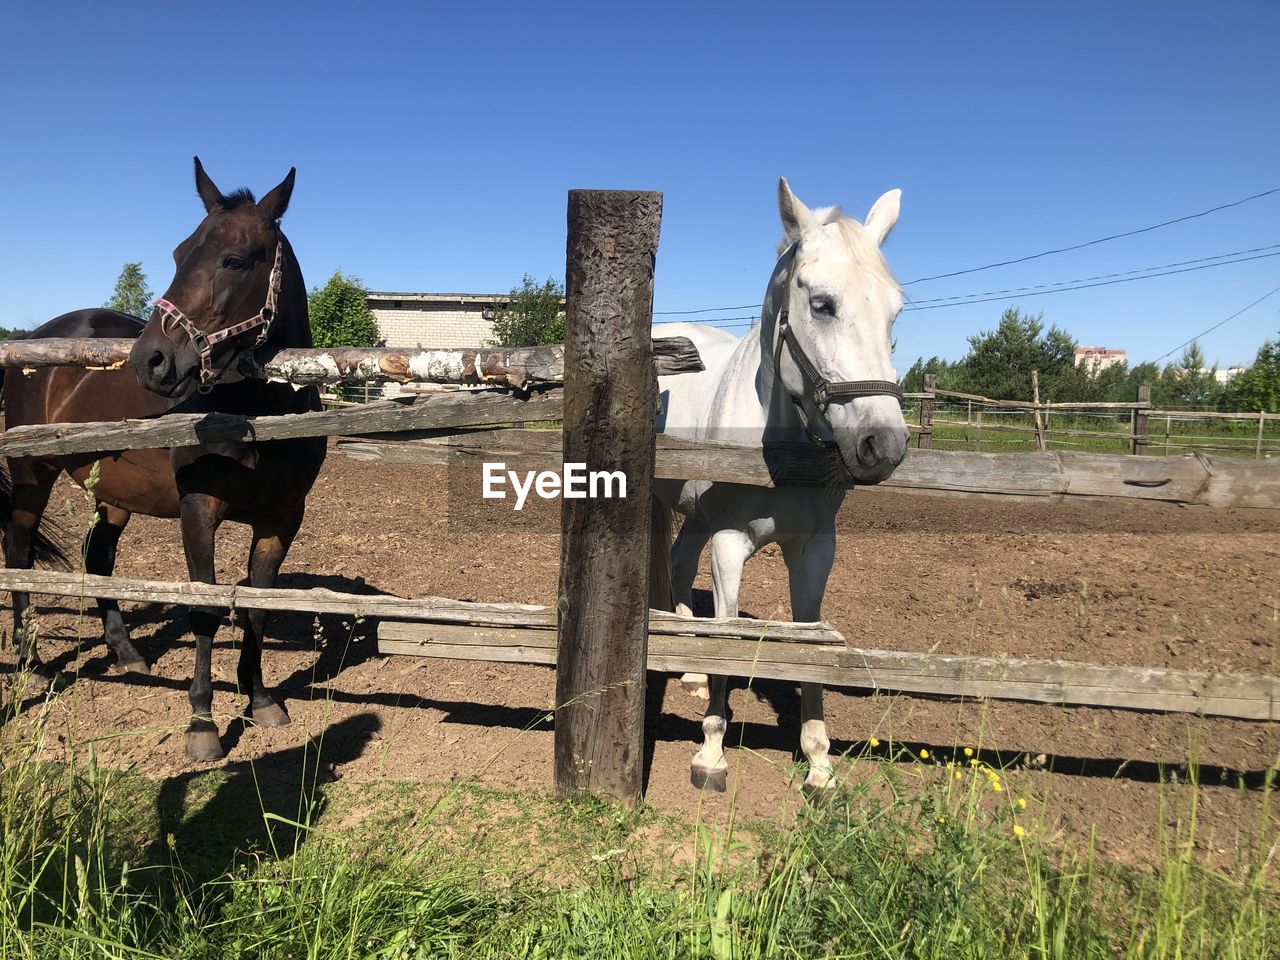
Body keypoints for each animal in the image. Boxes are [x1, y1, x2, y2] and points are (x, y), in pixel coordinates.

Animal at [6, 158, 325, 762]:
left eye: (234, 259)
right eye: (179, 254)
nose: (150, 361)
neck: (258, 414)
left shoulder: (283, 517)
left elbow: (257, 605)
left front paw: (261, 700)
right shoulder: (198, 510)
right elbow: (204, 609)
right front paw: (202, 723)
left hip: (112, 493)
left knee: (98, 557)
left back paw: (127, 654)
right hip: (31, 473)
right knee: (17, 554)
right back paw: (30, 663)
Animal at [660, 180, 911, 798]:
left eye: (895, 311)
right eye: (822, 304)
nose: (884, 444)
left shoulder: (816, 550)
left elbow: (806, 643)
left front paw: (820, 763)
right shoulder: (730, 544)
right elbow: (727, 636)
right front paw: (711, 753)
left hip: (695, 515)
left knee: (679, 562)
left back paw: (693, 670)